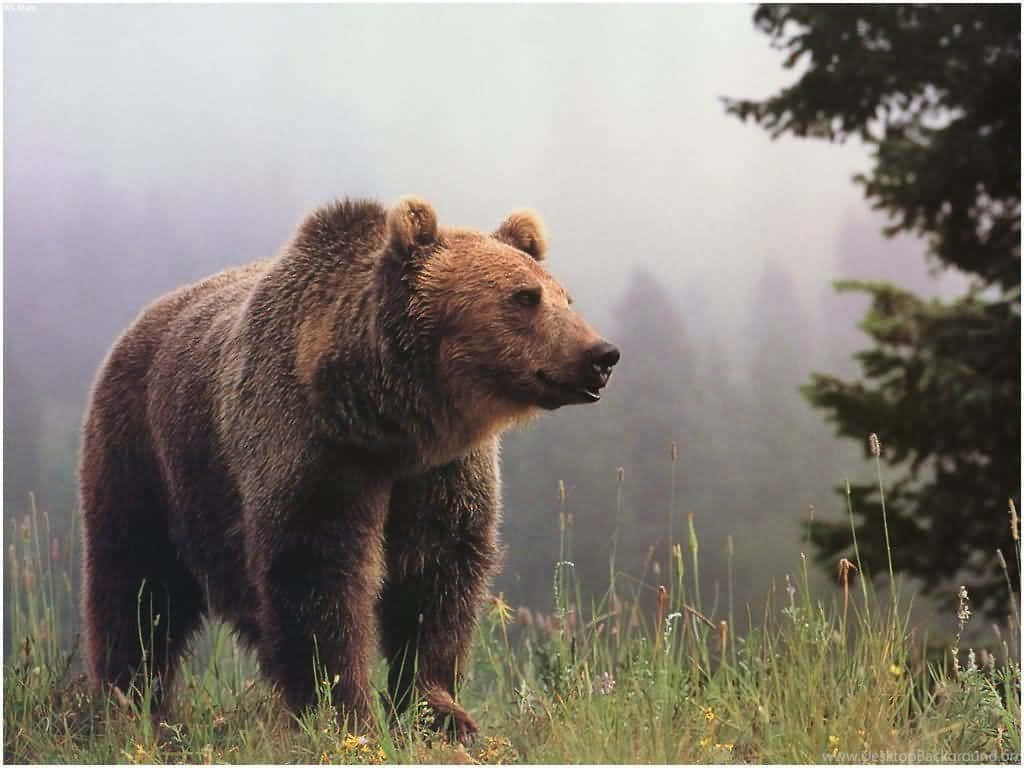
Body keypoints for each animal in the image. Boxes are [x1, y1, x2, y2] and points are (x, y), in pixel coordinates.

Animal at [79, 195, 619, 740]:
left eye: (565, 297)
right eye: (524, 297)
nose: (601, 355)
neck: (386, 425)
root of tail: (141, 320)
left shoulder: (441, 474)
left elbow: (437, 577)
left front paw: (440, 711)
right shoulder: (314, 452)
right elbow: (318, 576)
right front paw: (341, 710)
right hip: (146, 455)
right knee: (137, 586)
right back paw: (130, 702)